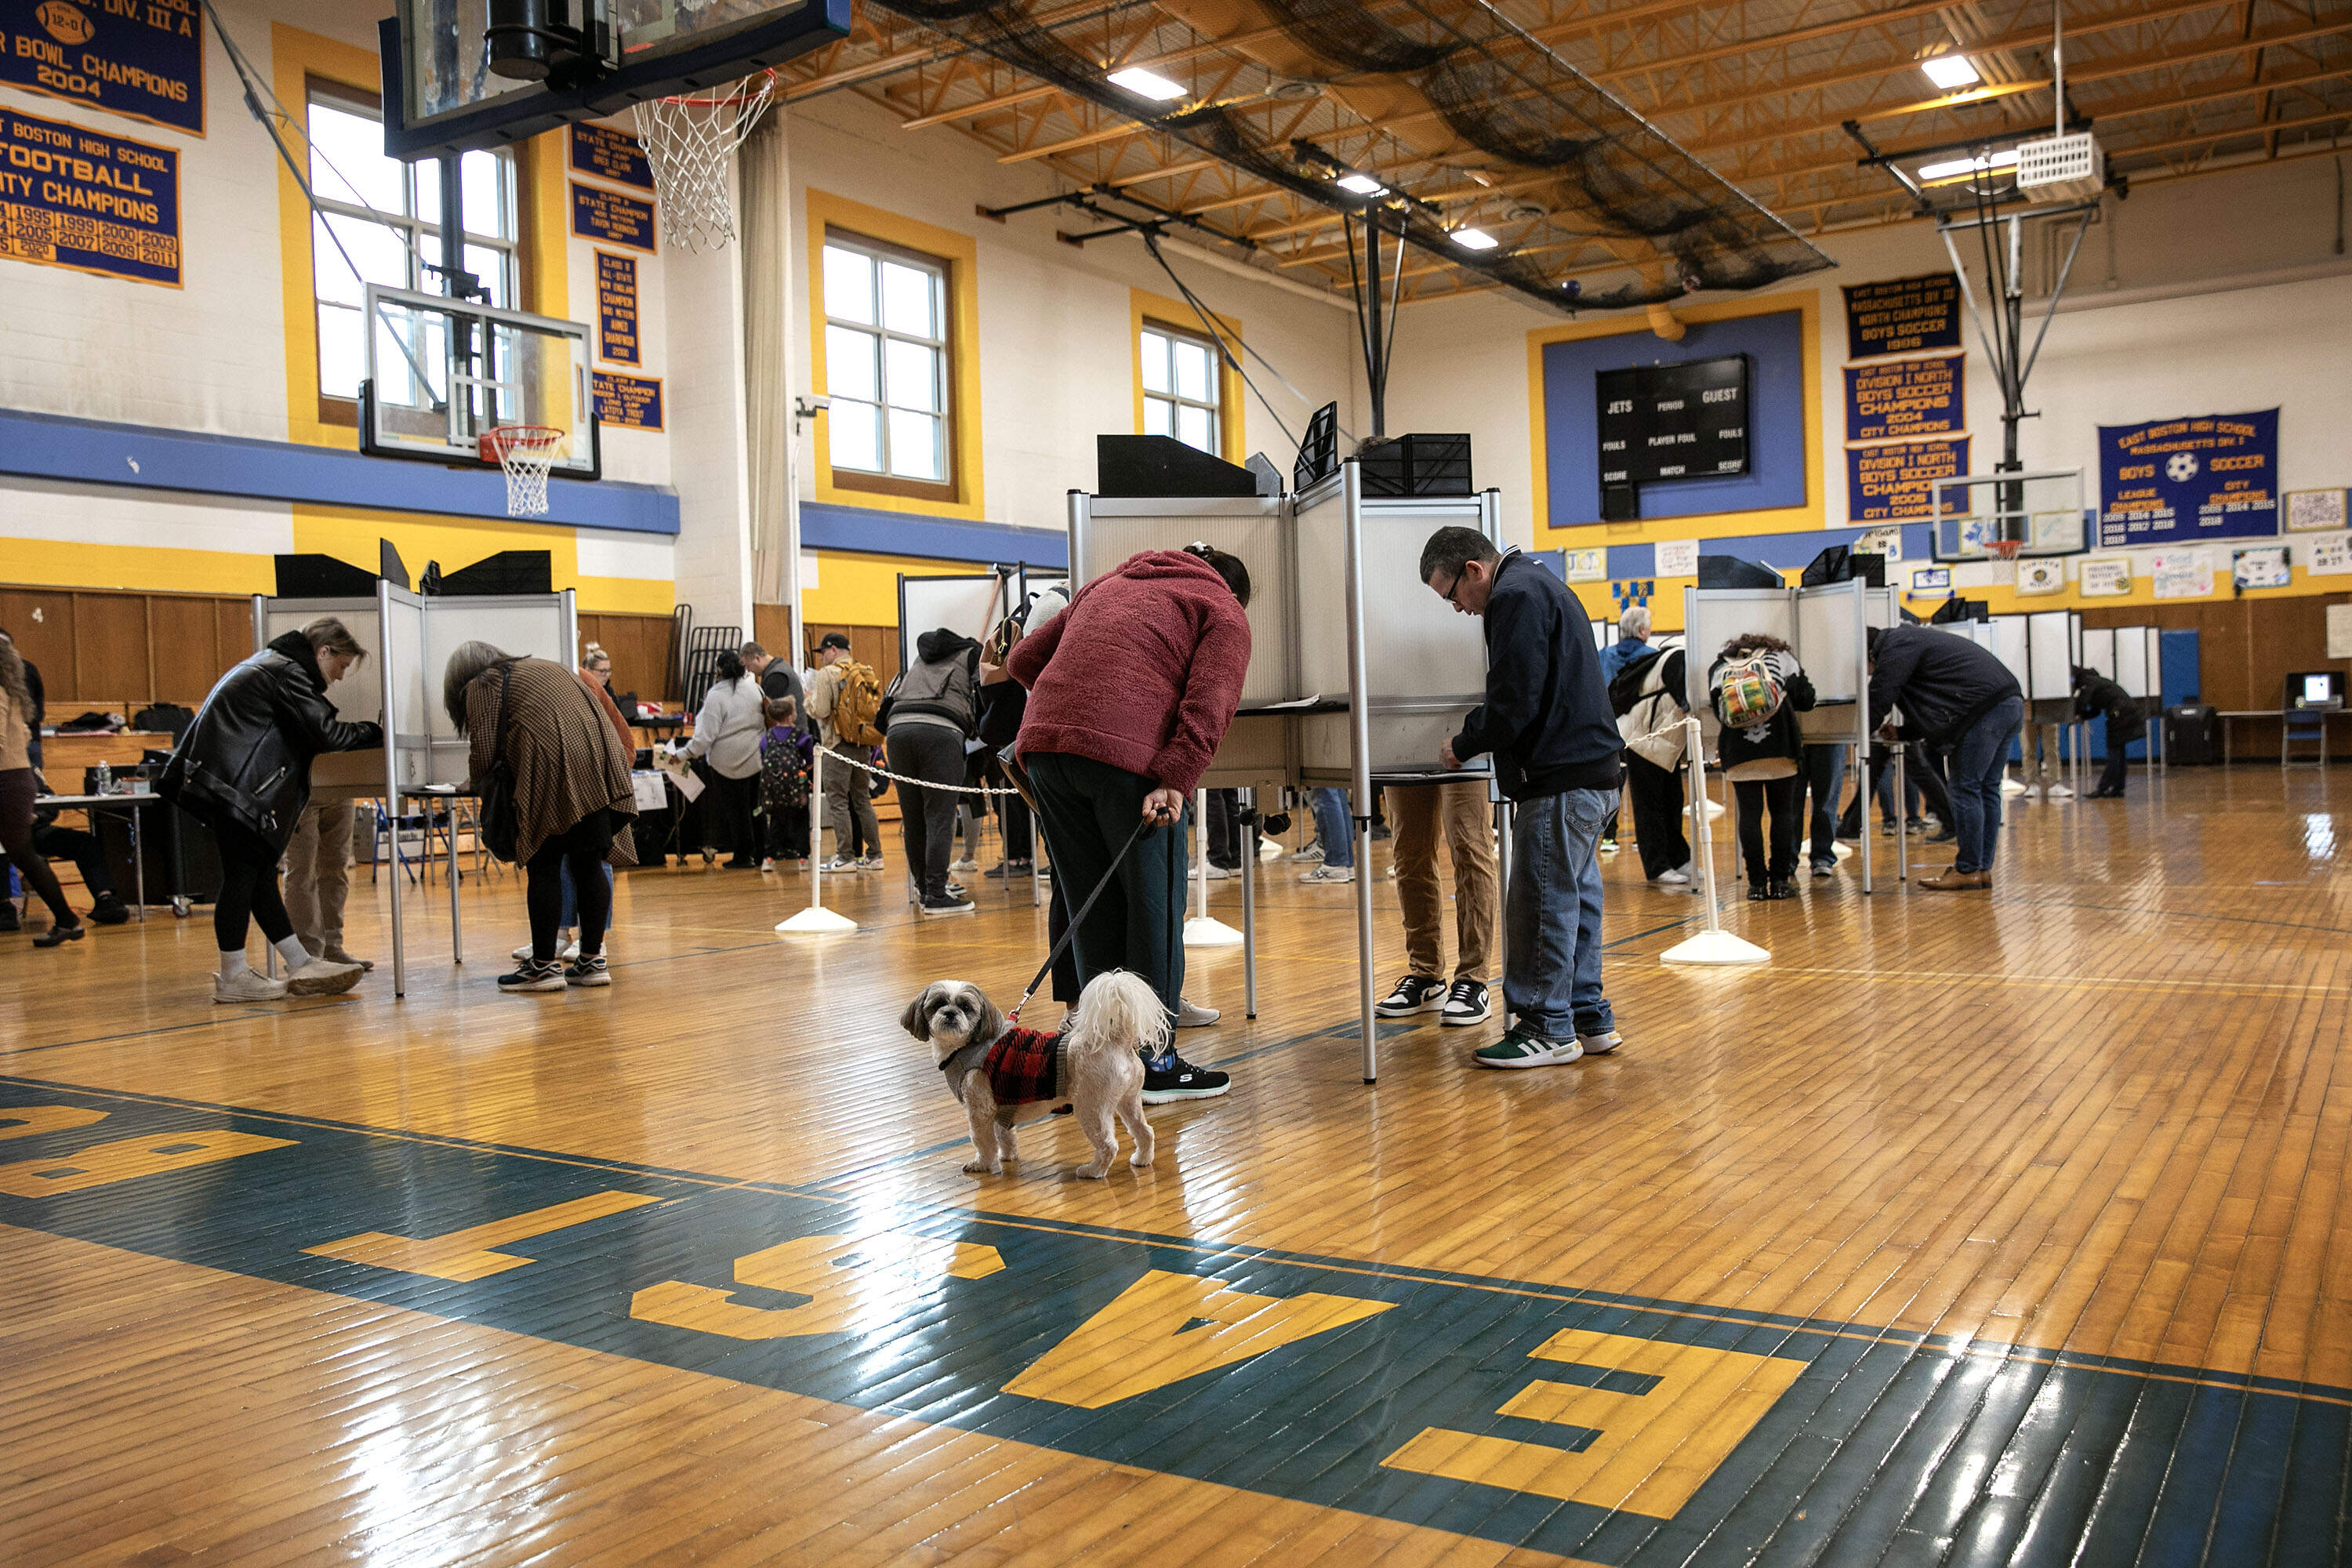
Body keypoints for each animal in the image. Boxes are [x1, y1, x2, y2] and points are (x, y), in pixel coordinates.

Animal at [901, 972, 1161, 1179]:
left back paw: (1093, 1171)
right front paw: (1008, 1156)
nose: (950, 1014)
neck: (965, 1046)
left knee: (1108, 1145)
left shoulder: (979, 1109)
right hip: (1127, 1101)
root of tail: (1117, 1040)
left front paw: (981, 1164)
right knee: (1145, 1132)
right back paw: (1142, 1159)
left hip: (1091, 1108)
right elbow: (1005, 1134)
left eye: (966, 1007)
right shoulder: (1002, 1104)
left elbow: (983, 1141)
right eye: (937, 1004)